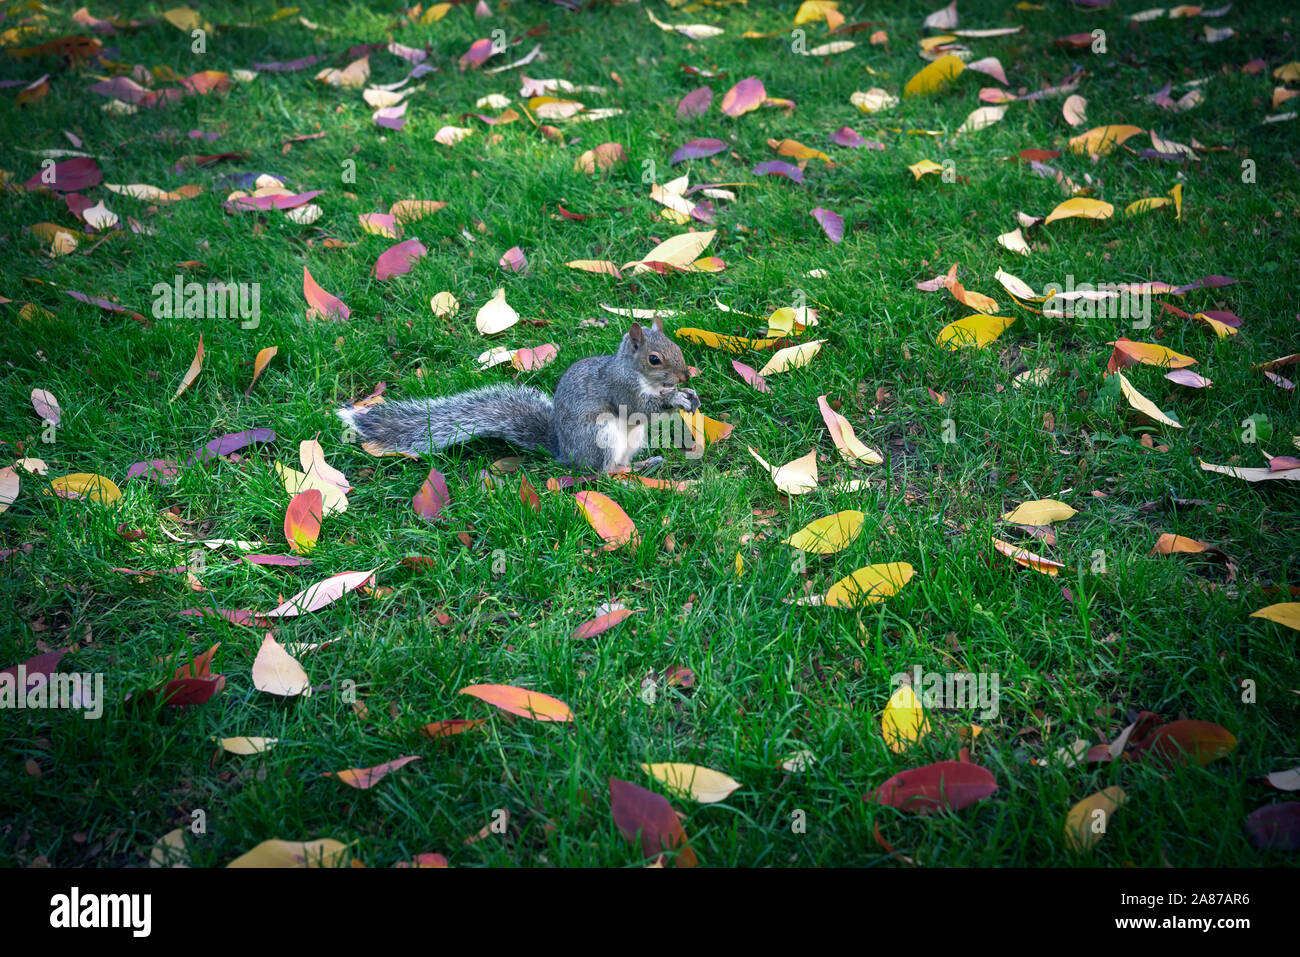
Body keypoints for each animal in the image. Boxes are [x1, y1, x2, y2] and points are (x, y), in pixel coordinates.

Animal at [337, 315, 701, 474]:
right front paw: (675, 399)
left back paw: (646, 463)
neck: (640, 374)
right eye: (655, 359)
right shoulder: (620, 386)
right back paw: (628, 472)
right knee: (603, 472)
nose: (685, 375)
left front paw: (689, 394)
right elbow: (640, 407)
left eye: (677, 347)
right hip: (601, 435)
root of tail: (565, 453)